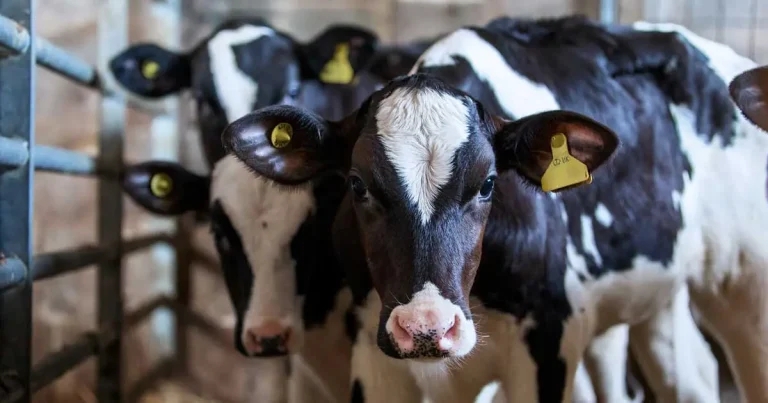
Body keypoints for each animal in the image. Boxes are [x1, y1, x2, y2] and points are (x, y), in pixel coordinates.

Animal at [218, 16, 761, 402]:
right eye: (357, 185)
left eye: (488, 184)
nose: (427, 326)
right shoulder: (375, 350)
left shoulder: (548, 338)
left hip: (745, 285)